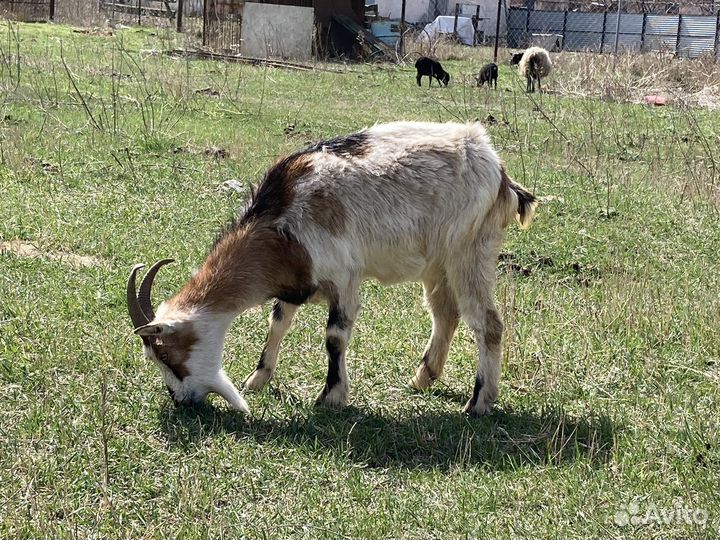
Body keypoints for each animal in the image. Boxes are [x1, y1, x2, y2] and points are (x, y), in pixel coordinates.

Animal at [127, 122, 537, 417]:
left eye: (165, 354)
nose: (181, 400)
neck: (281, 222)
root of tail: (500, 174)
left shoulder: (343, 277)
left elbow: (335, 336)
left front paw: (331, 396)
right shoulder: (298, 278)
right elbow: (279, 321)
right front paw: (257, 379)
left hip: (469, 253)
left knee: (486, 323)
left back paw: (479, 403)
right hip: (437, 264)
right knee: (445, 313)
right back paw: (423, 378)